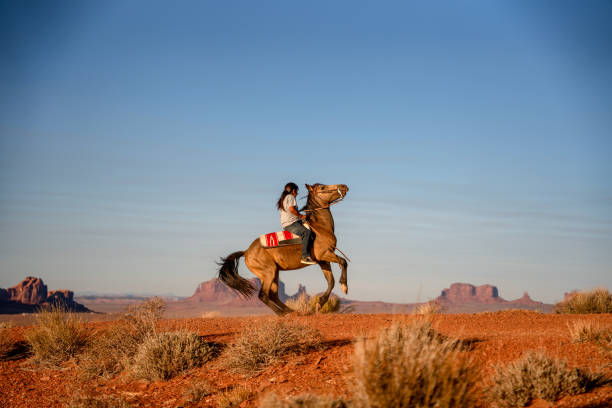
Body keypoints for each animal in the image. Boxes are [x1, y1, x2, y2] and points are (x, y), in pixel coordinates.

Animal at [216, 184, 350, 316]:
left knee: (273, 295)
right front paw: (344, 286)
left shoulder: (323, 261)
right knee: (263, 295)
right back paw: (283, 313)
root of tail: (246, 252)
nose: (344, 186)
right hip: (268, 273)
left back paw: (290, 311)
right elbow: (343, 262)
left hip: (274, 272)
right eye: (322, 188)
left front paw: (320, 303)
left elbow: (331, 281)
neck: (320, 228)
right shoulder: (325, 254)